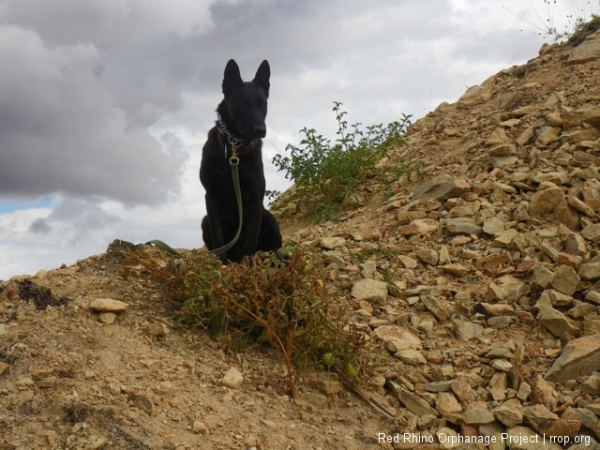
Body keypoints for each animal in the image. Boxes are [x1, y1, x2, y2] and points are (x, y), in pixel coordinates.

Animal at [200, 59, 282, 264]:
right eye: (242, 104)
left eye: (263, 104)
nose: (261, 130)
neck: (234, 149)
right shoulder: (211, 197)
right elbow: (219, 238)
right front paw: (220, 267)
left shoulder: (255, 200)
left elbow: (251, 241)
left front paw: (249, 268)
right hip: (204, 221)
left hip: (269, 218)